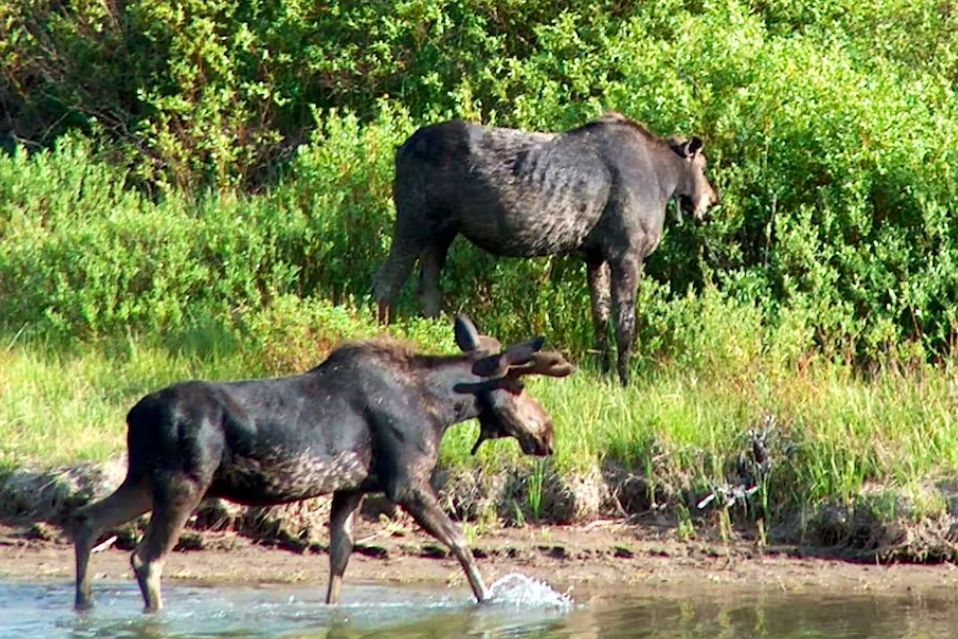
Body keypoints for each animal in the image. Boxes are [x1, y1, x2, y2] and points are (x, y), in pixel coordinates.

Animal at [73, 318, 576, 612]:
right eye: (518, 387)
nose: (548, 433)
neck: (440, 407)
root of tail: (133, 415)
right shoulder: (405, 481)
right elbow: (459, 540)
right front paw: (488, 600)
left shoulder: (351, 487)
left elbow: (339, 558)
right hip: (183, 483)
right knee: (146, 559)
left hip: (144, 479)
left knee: (89, 518)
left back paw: (84, 604)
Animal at [376, 112, 720, 384]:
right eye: (703, 166)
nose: (711, 200)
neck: (665, 179)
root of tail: (401, 151)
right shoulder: (627, 254)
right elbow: (625, 322)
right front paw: (624, 379)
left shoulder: (595, 255)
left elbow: (600, 316)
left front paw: (605, 372)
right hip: (415, 220)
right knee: (387, 283)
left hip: (441, 233)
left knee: (428, 291)